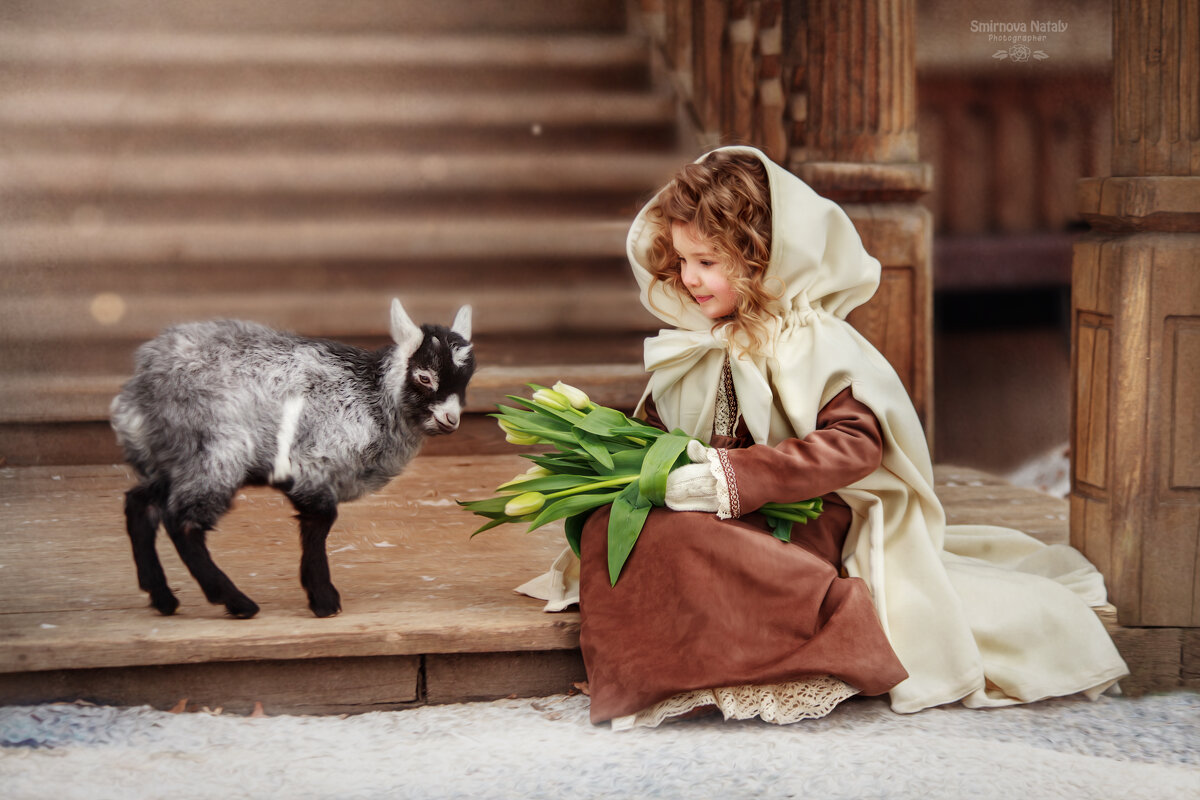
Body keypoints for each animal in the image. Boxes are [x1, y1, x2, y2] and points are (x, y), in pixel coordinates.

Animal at [108, 299, 472, 618]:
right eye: (424, 376)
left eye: (466, 380)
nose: (451, 419)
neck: (374, 396)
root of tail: (140, 388)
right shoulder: (313, 464)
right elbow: (321, 521)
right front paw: (324, 601)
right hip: (215, 454)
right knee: (183, 522)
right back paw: (236, 602)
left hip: (170, 459)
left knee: (140, 504)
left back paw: (163, 597)